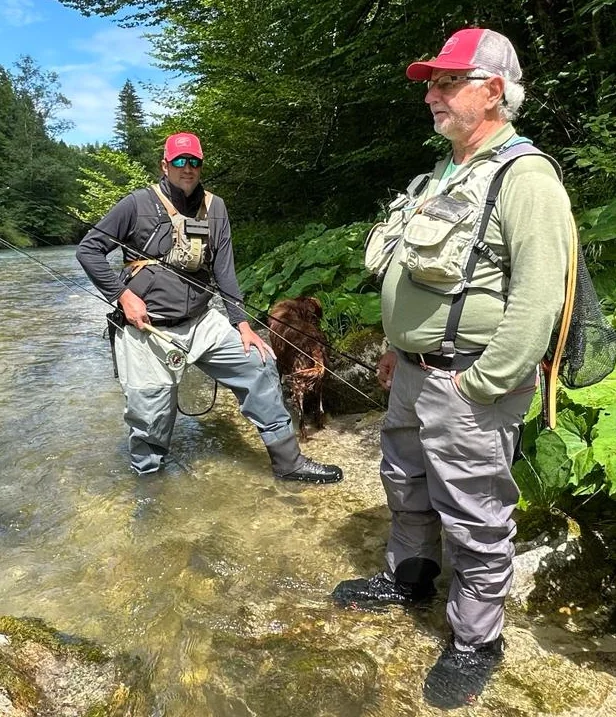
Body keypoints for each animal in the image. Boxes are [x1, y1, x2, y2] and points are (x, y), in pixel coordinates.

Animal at [268, 296, 328, 440]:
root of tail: (314, 344)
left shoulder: (279, 362)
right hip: (319, 384)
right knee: (319, 410)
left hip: (298, 384)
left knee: (301, 417)